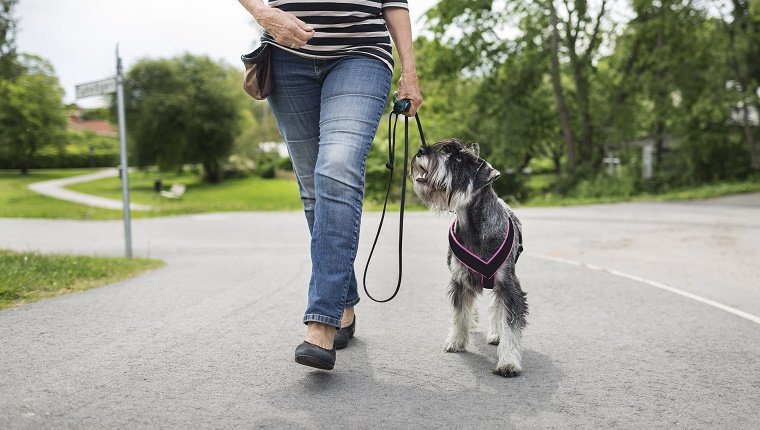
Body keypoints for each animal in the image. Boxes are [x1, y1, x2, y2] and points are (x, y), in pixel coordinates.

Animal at [410, 139, 528, 376]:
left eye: (457, 160)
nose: (420, 151)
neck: (472, 227)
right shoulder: (459, 280)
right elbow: (460, 312)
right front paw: (456, 341)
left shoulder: (508, 285)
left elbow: (510, 322)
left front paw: (508, 361)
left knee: (496, 307)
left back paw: (496, 334)